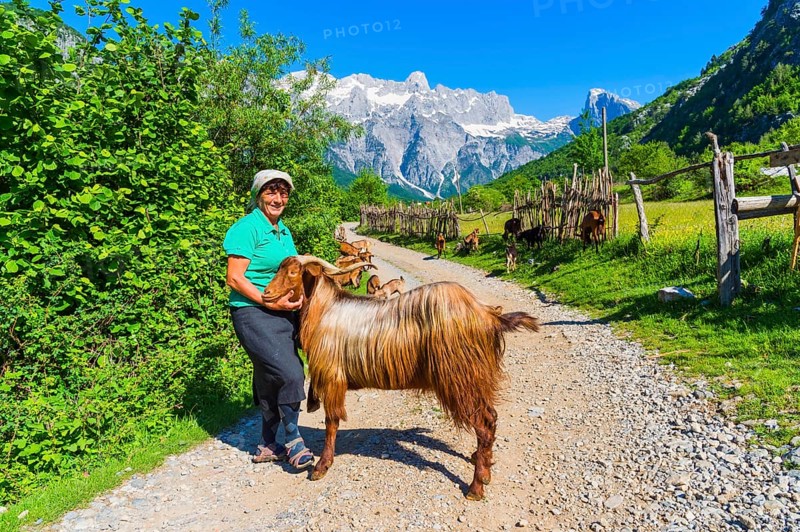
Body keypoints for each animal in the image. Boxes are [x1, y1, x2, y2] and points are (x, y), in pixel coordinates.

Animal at [263, 255, 540, 501]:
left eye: (293, 272)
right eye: (280, 268)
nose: (266, 294)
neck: (325, 310)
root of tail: (488, 315)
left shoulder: (333, 378)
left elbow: (331, 422)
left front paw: (321, 466)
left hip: (460, 378)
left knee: (484, 425)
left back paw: (476, 487)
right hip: (475, 378)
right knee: (491, 419)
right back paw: (484, 469)